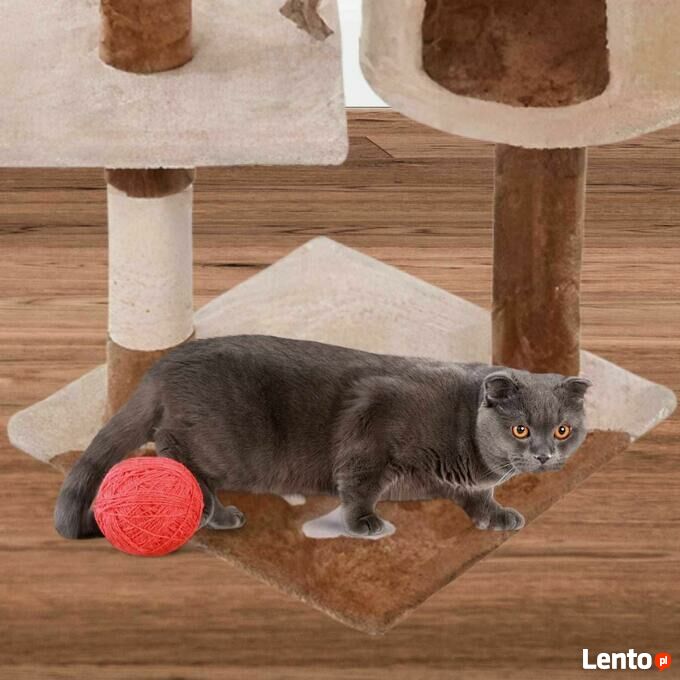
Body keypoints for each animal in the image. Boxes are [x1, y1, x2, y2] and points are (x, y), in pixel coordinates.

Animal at [54, 335, 590, 539]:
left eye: (562, 430)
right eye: (521, 428)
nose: (544, 455)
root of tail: (166, 363)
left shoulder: (466, 483)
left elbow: (478, 499)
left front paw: (498, 516)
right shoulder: (369, 426)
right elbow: (359, 485)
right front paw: (366, 524)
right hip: (223, 444)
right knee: (169, 447)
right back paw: (213, 511)